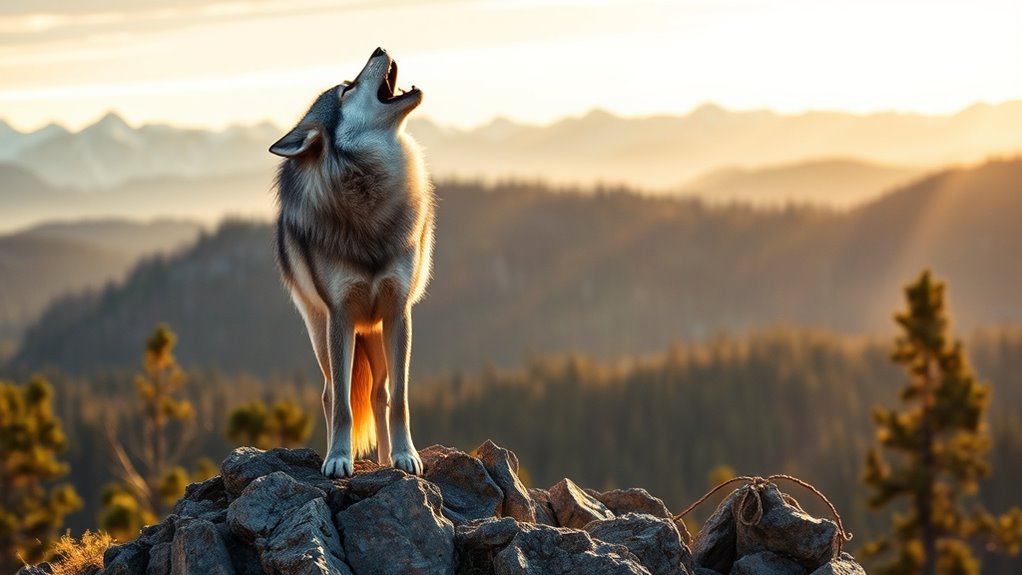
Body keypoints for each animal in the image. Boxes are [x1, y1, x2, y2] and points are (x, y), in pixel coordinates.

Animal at [269, 47, 434, 478]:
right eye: (346, 89)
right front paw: (338, 458)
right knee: (330, 394)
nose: (378, 49)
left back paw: (385, 459)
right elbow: (343, 406)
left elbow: (400, 400)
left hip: (375, 333)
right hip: (323, 334)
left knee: (380, 393)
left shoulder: (398, 312)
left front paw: (406, 455)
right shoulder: (340, 316)